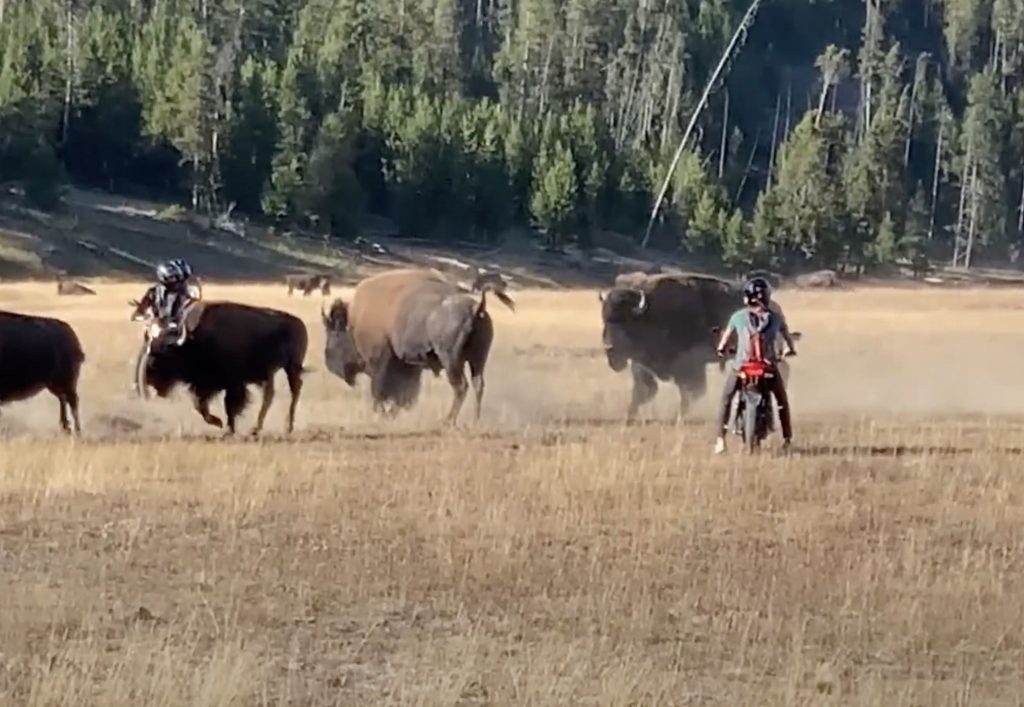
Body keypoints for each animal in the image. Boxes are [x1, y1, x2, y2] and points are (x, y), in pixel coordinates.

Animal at [141, 302, 308, 435]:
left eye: (163, 356)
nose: (150, 380)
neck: (192, 342)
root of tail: (299, 323)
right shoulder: (207, 385)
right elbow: (201, 406)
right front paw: (221, 424)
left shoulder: (233, 384)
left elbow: (229, 406)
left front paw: (228, 429)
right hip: (271, 373)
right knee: (270, 396)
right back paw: (257, 428)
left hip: (291, 367)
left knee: (294, 391)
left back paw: (287, 426)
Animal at [322, 268, 515, 424]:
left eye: (335, 334)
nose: (329, 363)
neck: (354, 321)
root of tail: (476, 308)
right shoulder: (409, 365)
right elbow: (405, 392)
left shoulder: (379, 362)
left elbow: (381, 390)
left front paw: (381, 413)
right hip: (478, 360)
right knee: (478, 385)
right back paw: (475, 420)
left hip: (451, 360)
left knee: (461, 386)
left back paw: (448, 421)